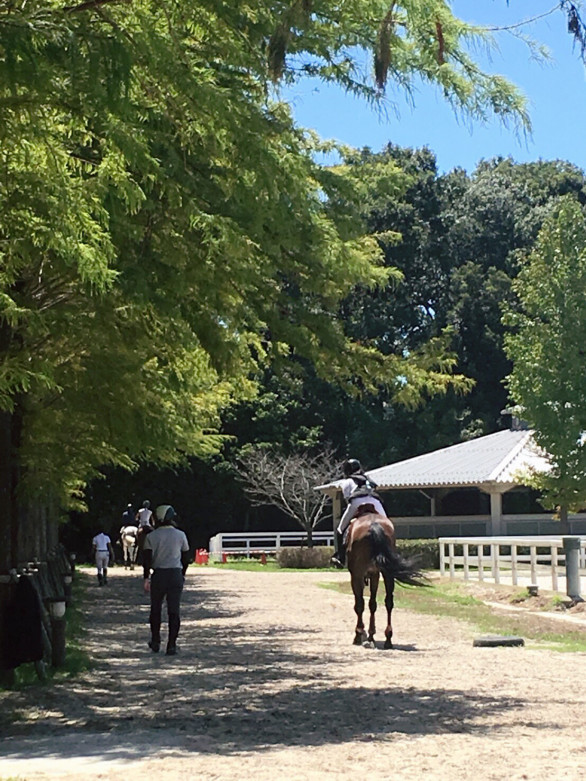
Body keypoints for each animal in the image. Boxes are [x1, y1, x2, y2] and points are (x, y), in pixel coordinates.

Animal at [346, 506, 424, 644]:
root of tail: (373, 525)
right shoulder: (374, 574)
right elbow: (373, 604)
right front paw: (371, 634)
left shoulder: (357, 575)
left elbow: (360, 604)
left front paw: (361, 634)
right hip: (387, 573)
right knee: (389, 602)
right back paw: (388, 638)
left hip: (358, 573)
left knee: (360, 604)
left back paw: (360, 634)